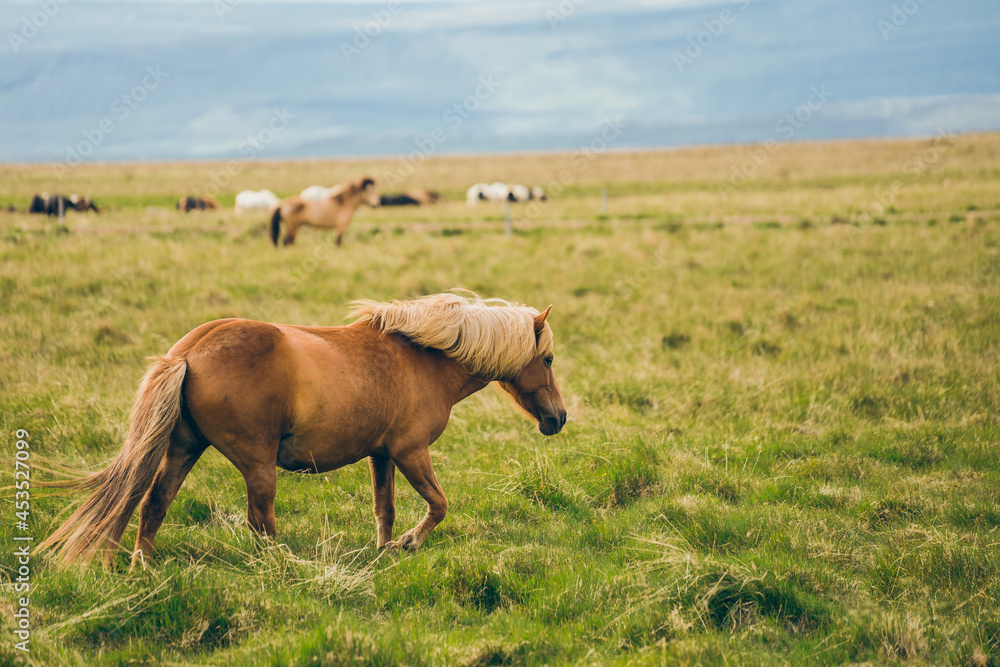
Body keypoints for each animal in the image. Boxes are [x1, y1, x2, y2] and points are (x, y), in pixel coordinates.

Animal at [38, 292, 567, 568]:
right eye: (548, 359)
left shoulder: (382, 455)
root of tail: (188, 353)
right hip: (256, 463)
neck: (423, 358)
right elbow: (438, 505)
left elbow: (385, 508)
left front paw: (384, 551)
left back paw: (142, 565)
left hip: (185, 448)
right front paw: (410, 544)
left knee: (154, 503)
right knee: (259, 519)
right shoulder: (411, 451)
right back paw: (282, 567)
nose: (558, 419)